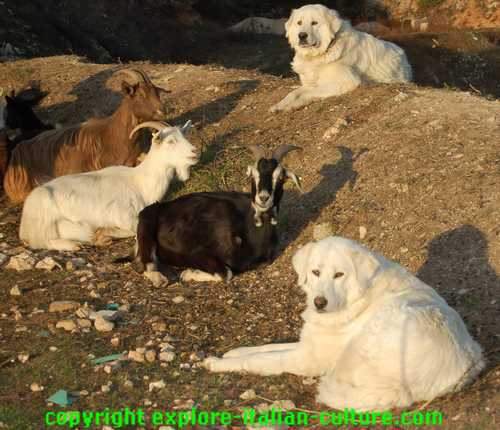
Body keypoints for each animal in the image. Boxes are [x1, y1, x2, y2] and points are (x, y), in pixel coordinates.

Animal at [20, 119, 198, 250]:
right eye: (170, 141)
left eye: (184, 137)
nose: (195, 152)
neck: (140, 183)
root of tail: (24, 223)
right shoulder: (124, 215)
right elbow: (134, 229)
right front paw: (105, 232)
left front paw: (103, 234)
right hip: (44, 213)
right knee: (41, 240)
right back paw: (75, 245)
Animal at [130, 144, 300, 284]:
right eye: (253, 175)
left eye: (280, 177)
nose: (263, 198)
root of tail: (164, 206)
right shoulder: (197, 252)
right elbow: (226, 273)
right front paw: (187, 273)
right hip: (147, 223)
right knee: (143, 264)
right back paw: (160, 279)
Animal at [204, 237, 484, 412]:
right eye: (315, 272)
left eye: (339, 275)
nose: (319, 302)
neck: (354, 298)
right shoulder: (307, 345)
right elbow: (263, 348)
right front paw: (232, 352)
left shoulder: (306, 359)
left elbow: (259, 360)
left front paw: (217, 363)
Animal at [272, 3, 412, 111]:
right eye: (299, 23)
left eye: (314, 23)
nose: (301, 35)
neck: (325, 50)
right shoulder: (310, 83)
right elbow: (293, 92)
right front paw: (279, 105)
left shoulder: (346, 82)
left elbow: (308, 93)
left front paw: (292, 105)